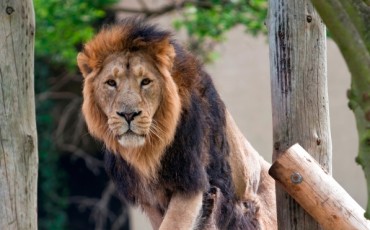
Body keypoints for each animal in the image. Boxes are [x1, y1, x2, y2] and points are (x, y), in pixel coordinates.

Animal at [76, 18, 276, 230]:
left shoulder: (191, 181)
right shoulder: (149, 198)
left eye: (146, 82)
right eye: (111, 83)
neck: (147, 153)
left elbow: (174, 223)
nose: (128, 114)